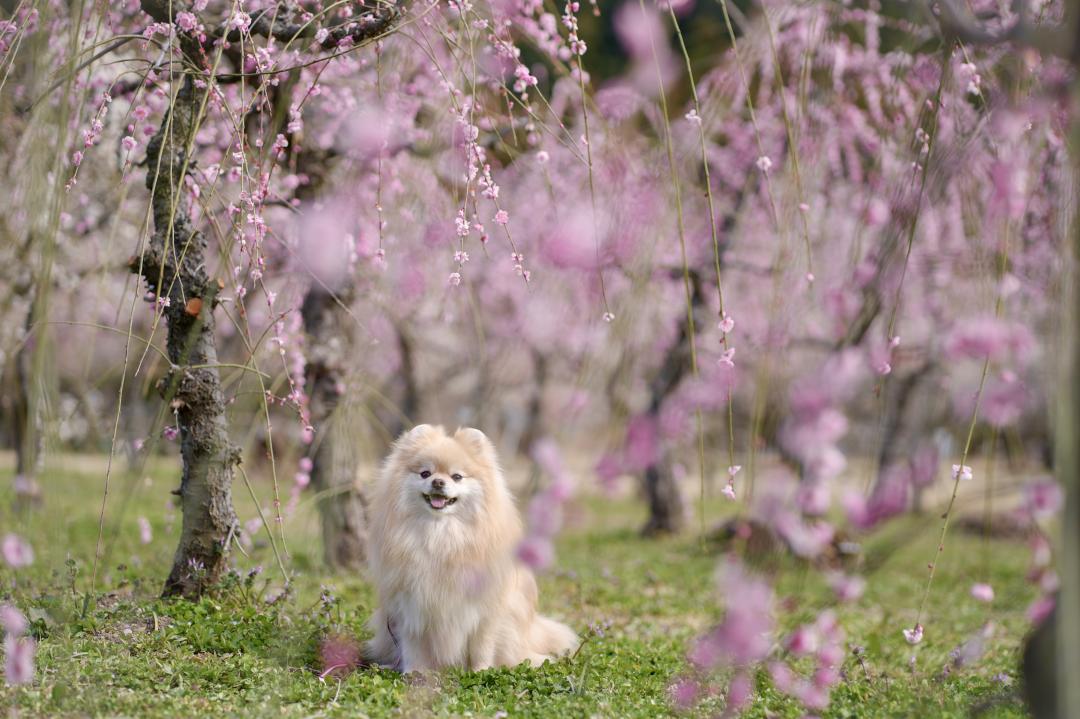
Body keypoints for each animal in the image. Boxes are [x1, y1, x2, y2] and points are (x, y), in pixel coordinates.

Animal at [365, 423, 583, 669]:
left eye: (457, 476)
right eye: (425, 473)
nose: (438, 482)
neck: (441, 534)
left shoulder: (486, 608)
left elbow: (482, 644)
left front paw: (481, 671)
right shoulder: (410, 605)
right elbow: (413, 645)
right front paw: (414, 672)